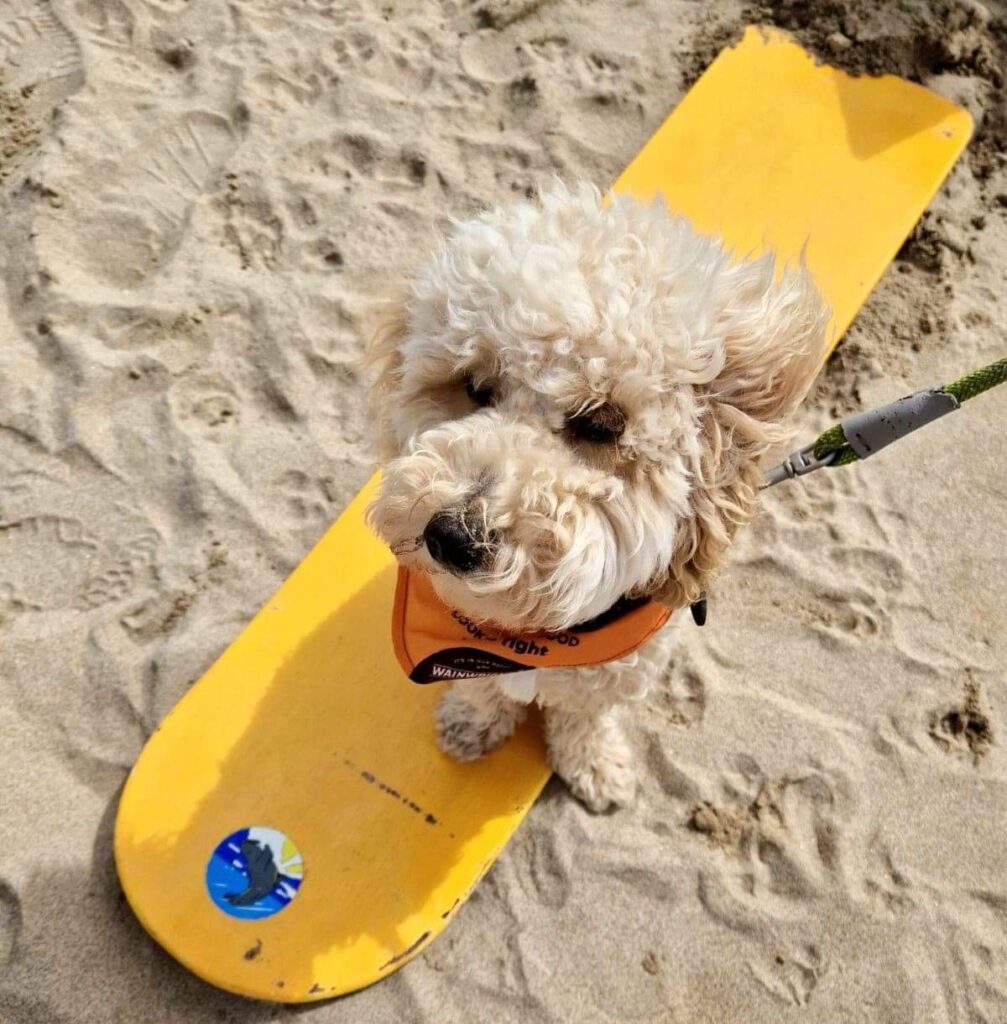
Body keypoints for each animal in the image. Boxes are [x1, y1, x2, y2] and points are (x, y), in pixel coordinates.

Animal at [370, 182, 827, 806]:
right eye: (473, 387)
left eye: (602, 423)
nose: (452, 536)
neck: (525, 638)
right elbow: (490, 689)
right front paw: (473, 718)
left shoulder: (621, 669)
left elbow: (585, 714)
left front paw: (592, 762)